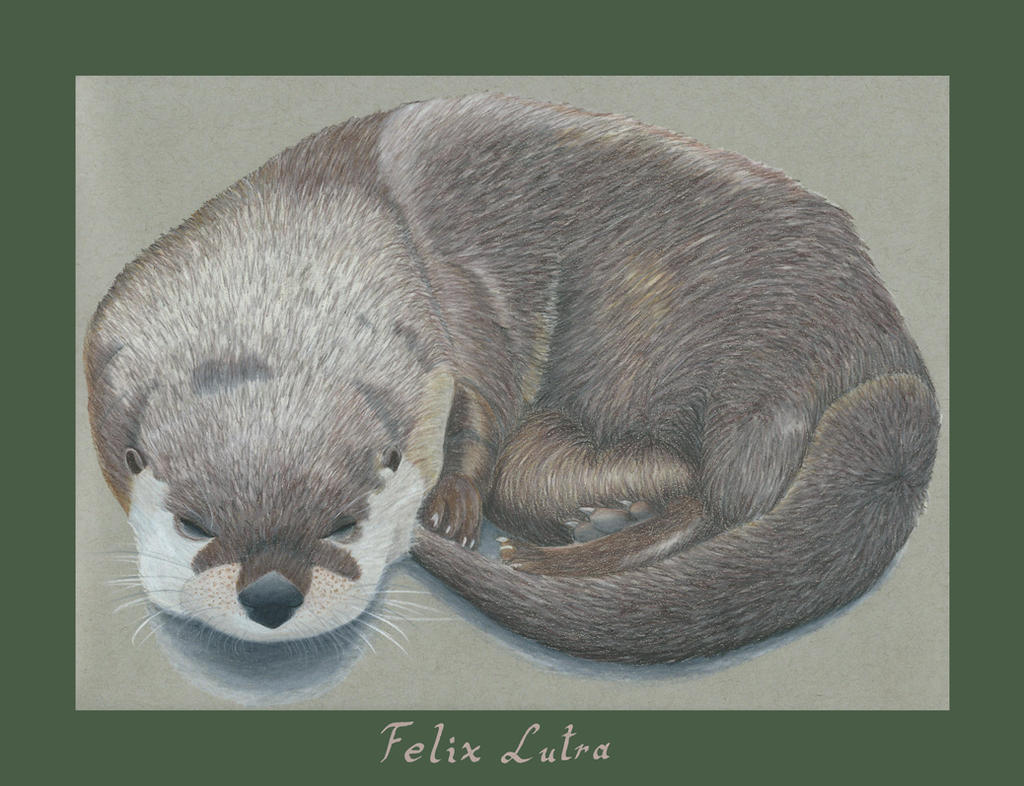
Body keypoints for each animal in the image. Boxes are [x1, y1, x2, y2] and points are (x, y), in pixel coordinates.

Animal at [85, 94, 939, 662]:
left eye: (345, 520)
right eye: (193, 522)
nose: (270, 595)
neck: (301, 239)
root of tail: (884, 344)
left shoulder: (457, 299)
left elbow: (482, 394)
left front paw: (451, 506)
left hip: (725, 359)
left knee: (727, 498)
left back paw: (568, 550)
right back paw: (598, 517)